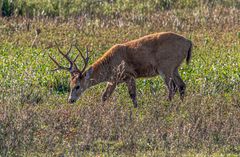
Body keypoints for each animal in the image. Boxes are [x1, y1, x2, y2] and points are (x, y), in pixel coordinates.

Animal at [49, 31, 192, 108]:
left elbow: (132, 95)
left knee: (172, 88)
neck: (110, 65)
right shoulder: (113, 80)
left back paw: (166, 106)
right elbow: (104, 96)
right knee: (181, 86)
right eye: (70, 85)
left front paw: (136, 110)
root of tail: (189, 42)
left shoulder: (129, 75)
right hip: (175, 68)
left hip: (166, 66)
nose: (70, 100)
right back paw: (181, 105)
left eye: (78, 86)